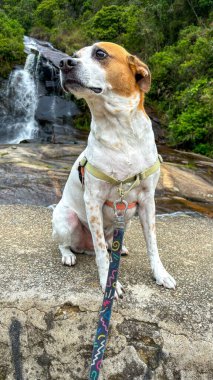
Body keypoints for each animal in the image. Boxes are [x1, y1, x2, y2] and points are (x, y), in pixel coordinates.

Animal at [52, 42, 176, 296]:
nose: (64, 62)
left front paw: (160, 274)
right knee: (67, 244)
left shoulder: (148, 201)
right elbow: (101, 252)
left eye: (100, 53)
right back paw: (69, 255)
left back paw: (120, 247)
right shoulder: (93, 201)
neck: (120, 131)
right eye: (75, 56)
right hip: (66, 218)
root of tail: (84, 247)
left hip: (125, 220)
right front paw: (107, 283)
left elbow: (153, 244)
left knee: (111, 244)